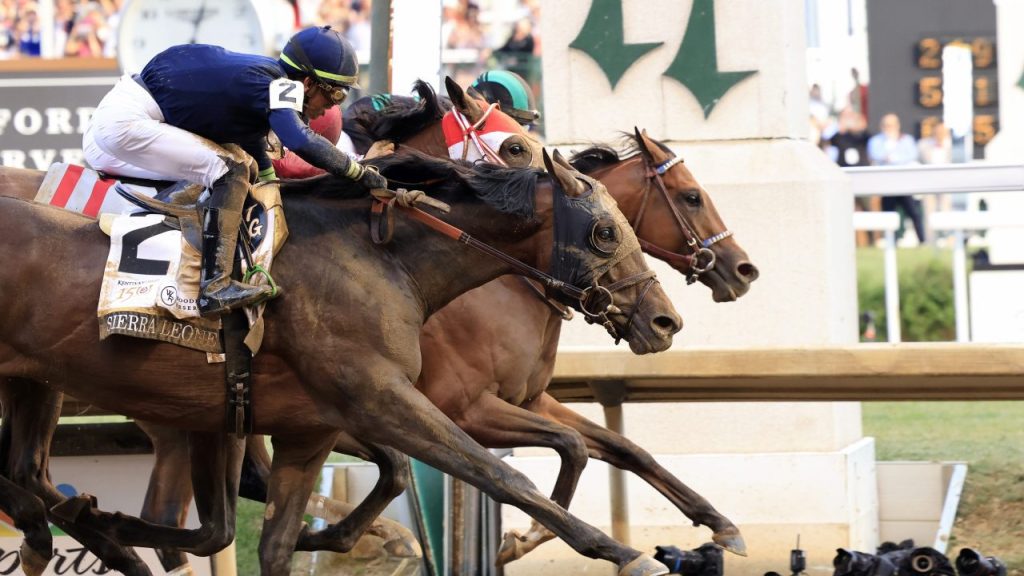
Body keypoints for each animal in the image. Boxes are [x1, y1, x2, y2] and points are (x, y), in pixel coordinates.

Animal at [0, 148, 684, 573]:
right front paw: (623, 553)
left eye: (627, 226)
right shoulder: (384, 397)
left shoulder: (307, 429)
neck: (381, 258)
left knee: (31, 473)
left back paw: (75, 524)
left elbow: (275, 543)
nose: (664, 321)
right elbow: (501, 475)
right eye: (604, 233)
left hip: (41, 386)